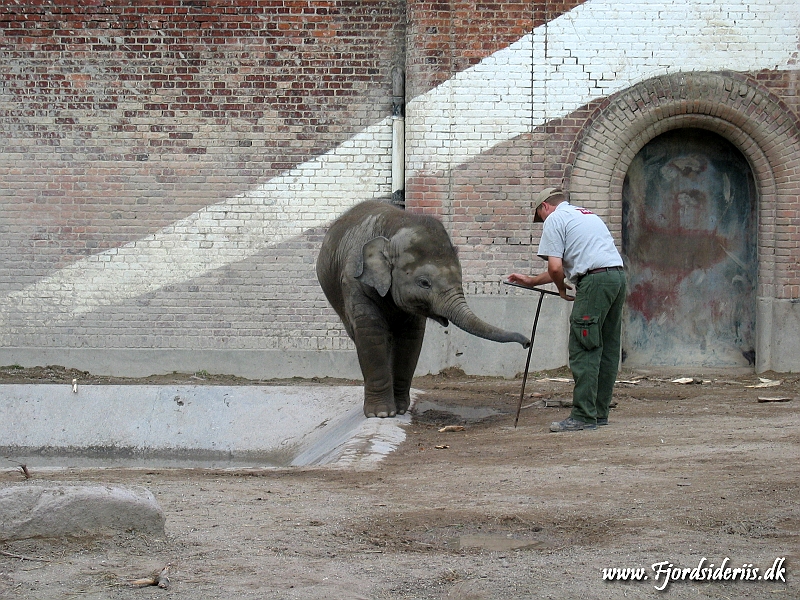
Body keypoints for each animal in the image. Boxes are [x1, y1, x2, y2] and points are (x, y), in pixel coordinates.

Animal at [316, 202, 528, 418]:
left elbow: (411, 338)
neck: (394, 228)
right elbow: (371, 332)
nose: (527, 343)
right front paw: (381, 414)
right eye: (424, 283)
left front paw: (400, 409)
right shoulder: (354, 282)